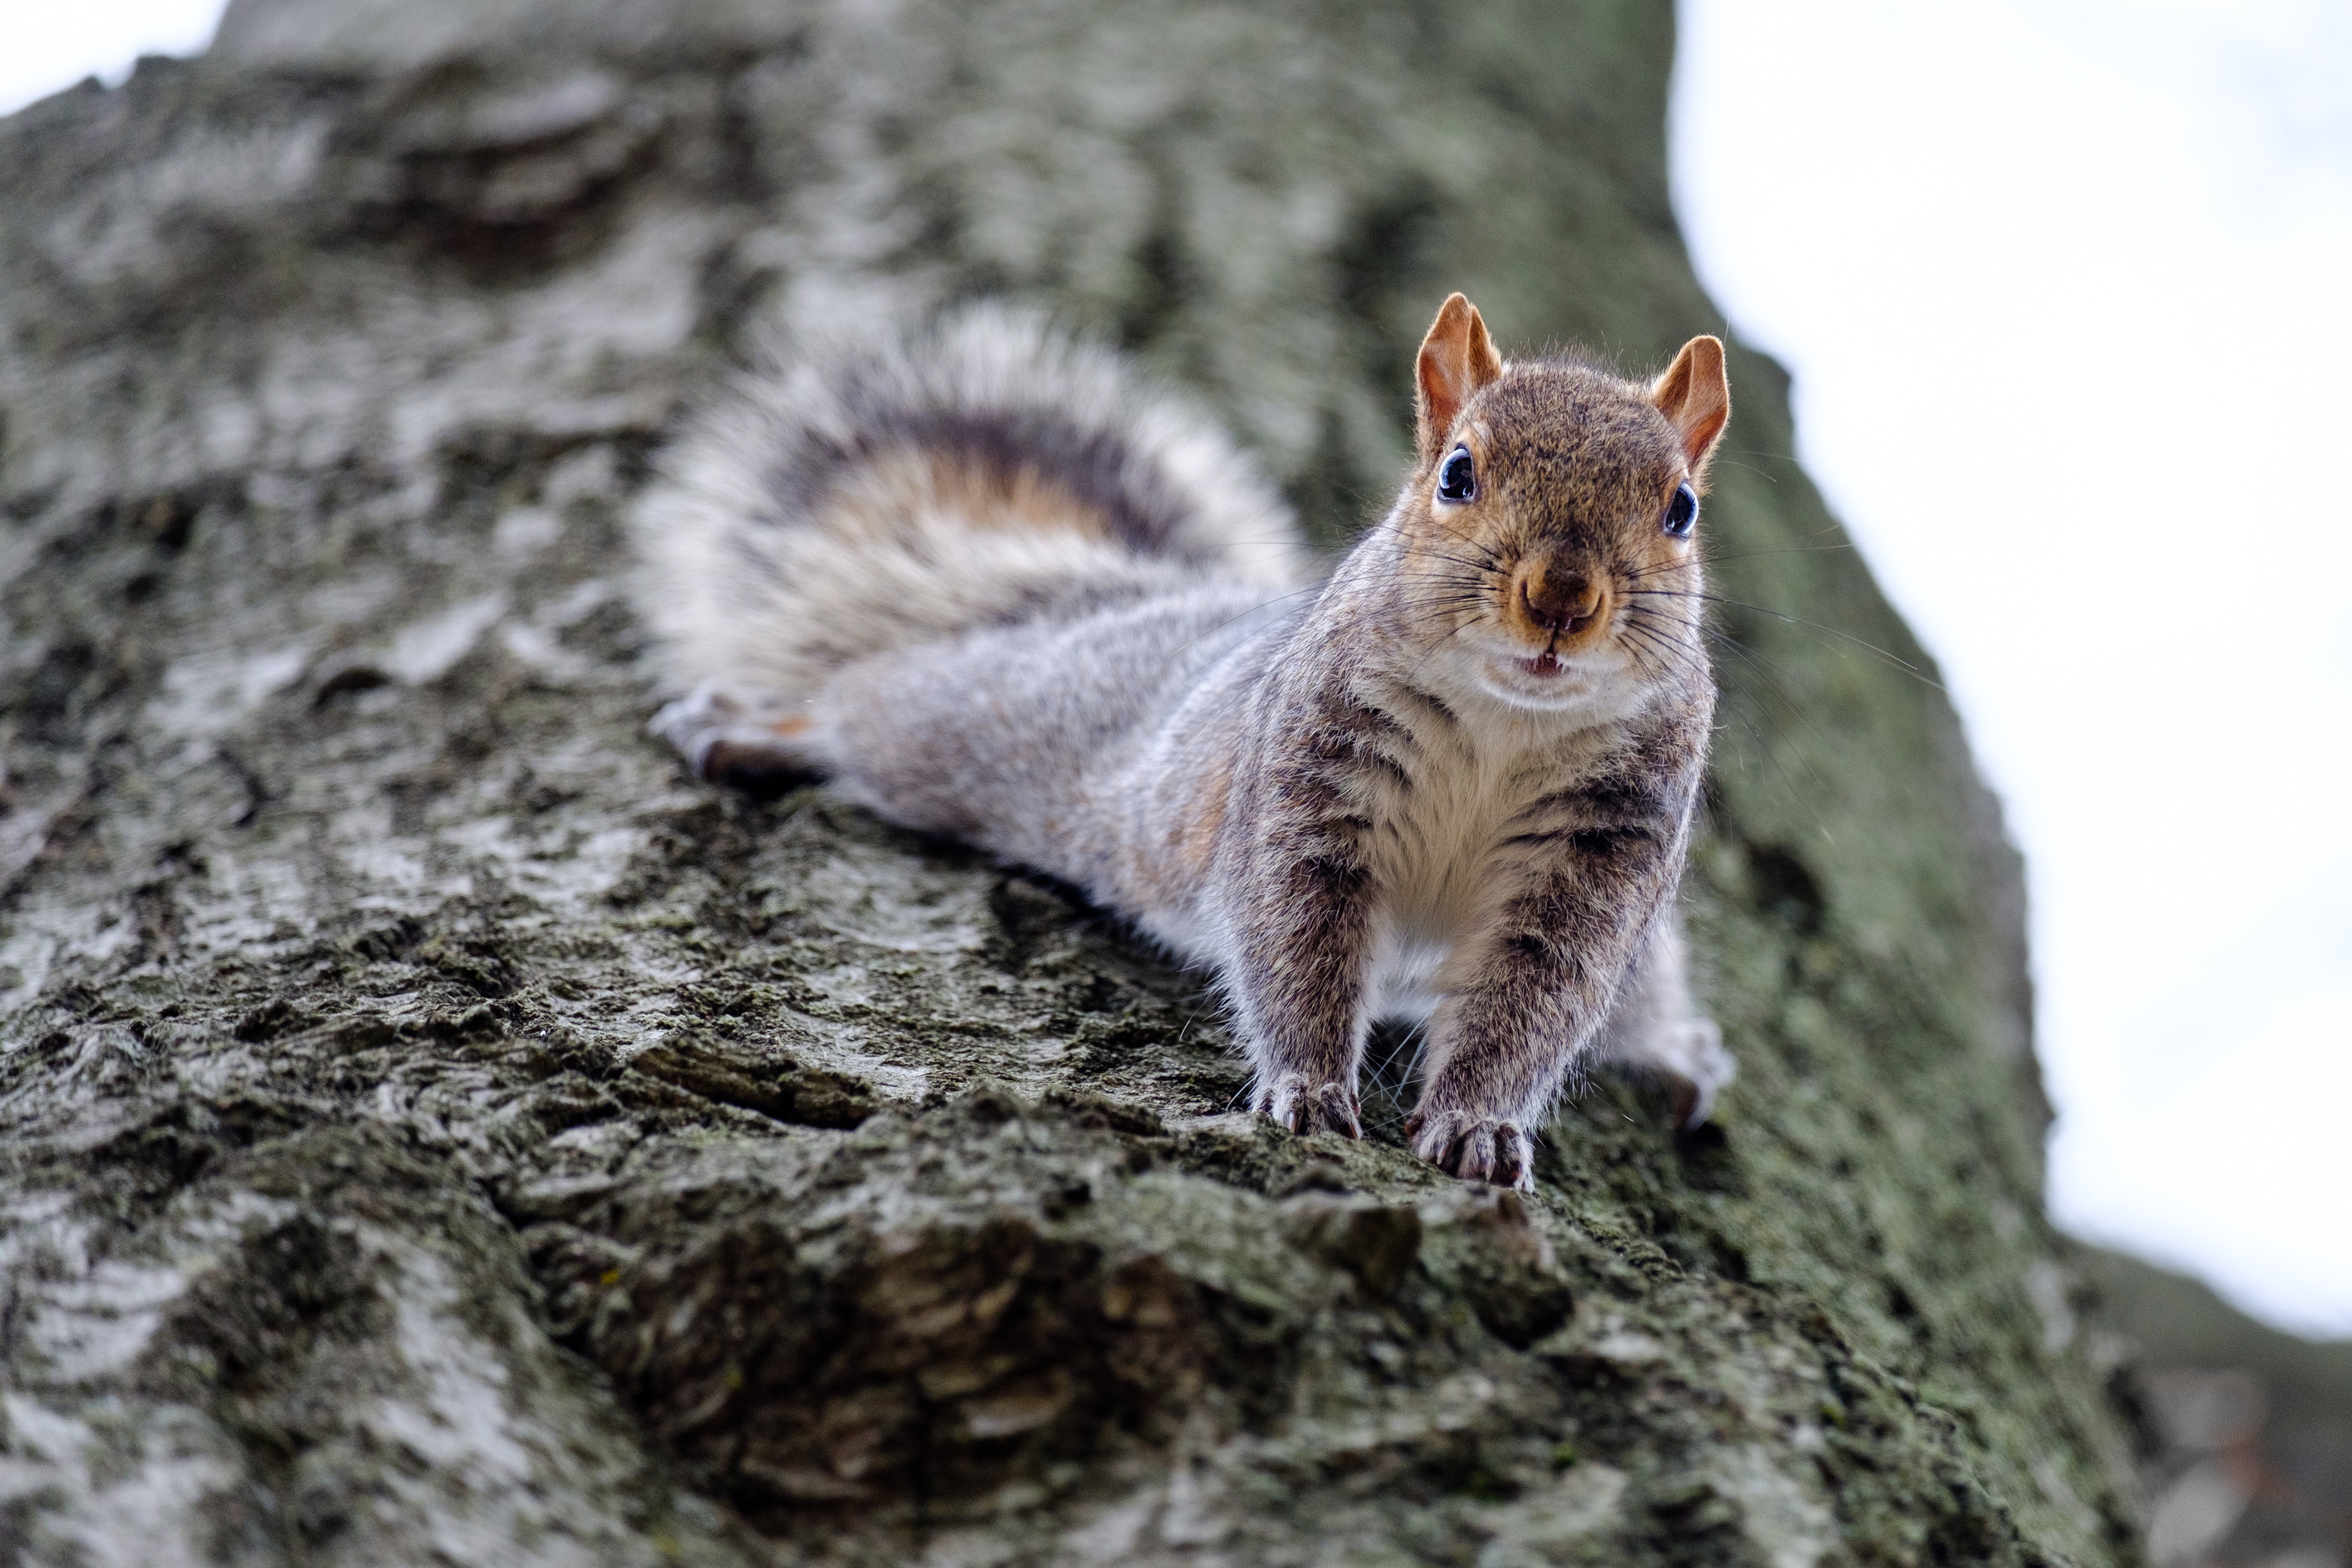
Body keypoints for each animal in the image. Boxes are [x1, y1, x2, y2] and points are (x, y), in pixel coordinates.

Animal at [635, 293, 1740, 1189]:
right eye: (1457, 474)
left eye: (1682, 508)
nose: (1561, 600)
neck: (1506, 720)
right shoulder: (1308, 787)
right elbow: (1296, 942)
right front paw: (1308, 1090)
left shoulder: (1600, 857)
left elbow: (1533, 1002)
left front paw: (1476, 1125)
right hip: (980, 723)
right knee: (865, 704)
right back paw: (760, 728)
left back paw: (1677, 1053)